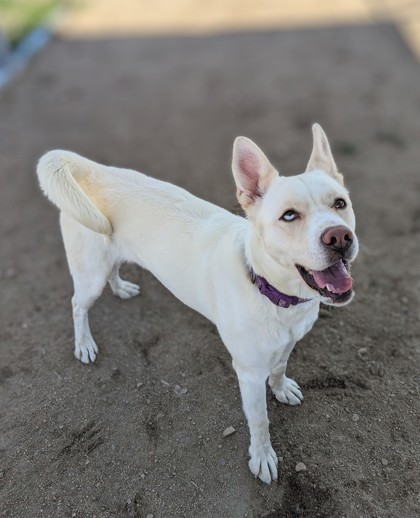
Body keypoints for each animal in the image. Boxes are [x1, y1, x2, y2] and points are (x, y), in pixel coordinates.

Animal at [37, 124, 358, 486]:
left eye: (340, 203)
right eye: (289, 215)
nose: (339, 237)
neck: (271, 291)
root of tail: (93, 170)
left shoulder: (287, 344)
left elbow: (280, 368)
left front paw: (281, 388)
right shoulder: (248, 373)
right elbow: (260, 421)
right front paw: (262, 457)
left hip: (108, 261)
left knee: (113, 272)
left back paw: (120, 287)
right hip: (90, 276)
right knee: (78, 305)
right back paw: (84, 344)